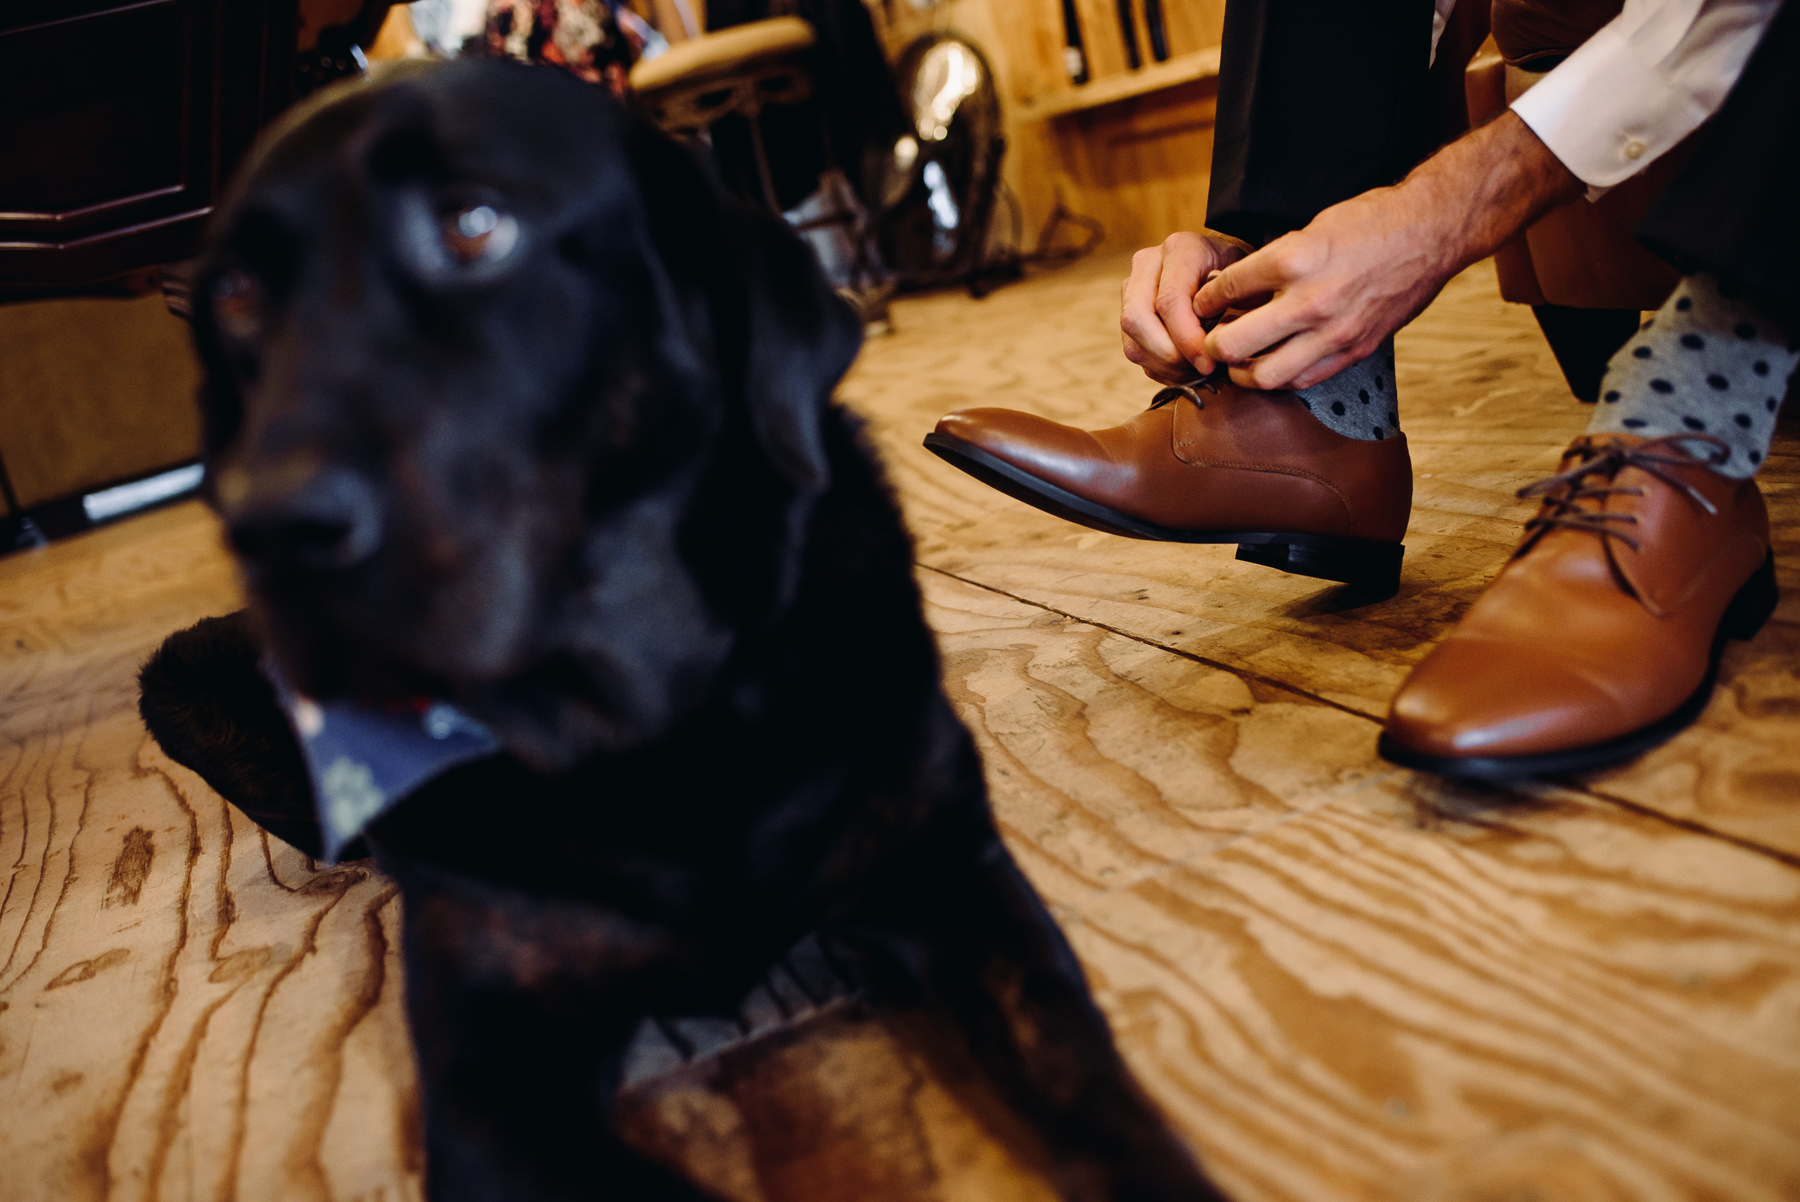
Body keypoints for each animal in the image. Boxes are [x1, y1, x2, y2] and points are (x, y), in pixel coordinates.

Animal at [140, 58, 1224, 1202]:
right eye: (235, 297)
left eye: (474, 225)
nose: (267, 524)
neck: (661, 724)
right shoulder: (491, 1088)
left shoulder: (951, 875)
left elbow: (1090, 1087)